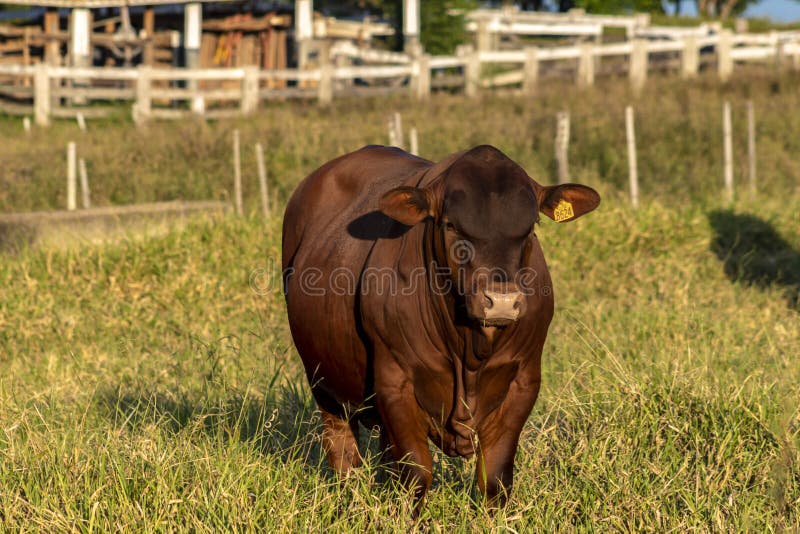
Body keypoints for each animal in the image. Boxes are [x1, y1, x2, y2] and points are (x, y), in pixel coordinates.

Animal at [282, 144, 600, 512]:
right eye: (451, 225)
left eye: (531, 226)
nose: (501, 301)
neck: (471, 350)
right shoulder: (394, 380)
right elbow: (417, 474)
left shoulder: (524, 380)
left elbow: (495, 476)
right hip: (322, 380)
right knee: (344, 450)